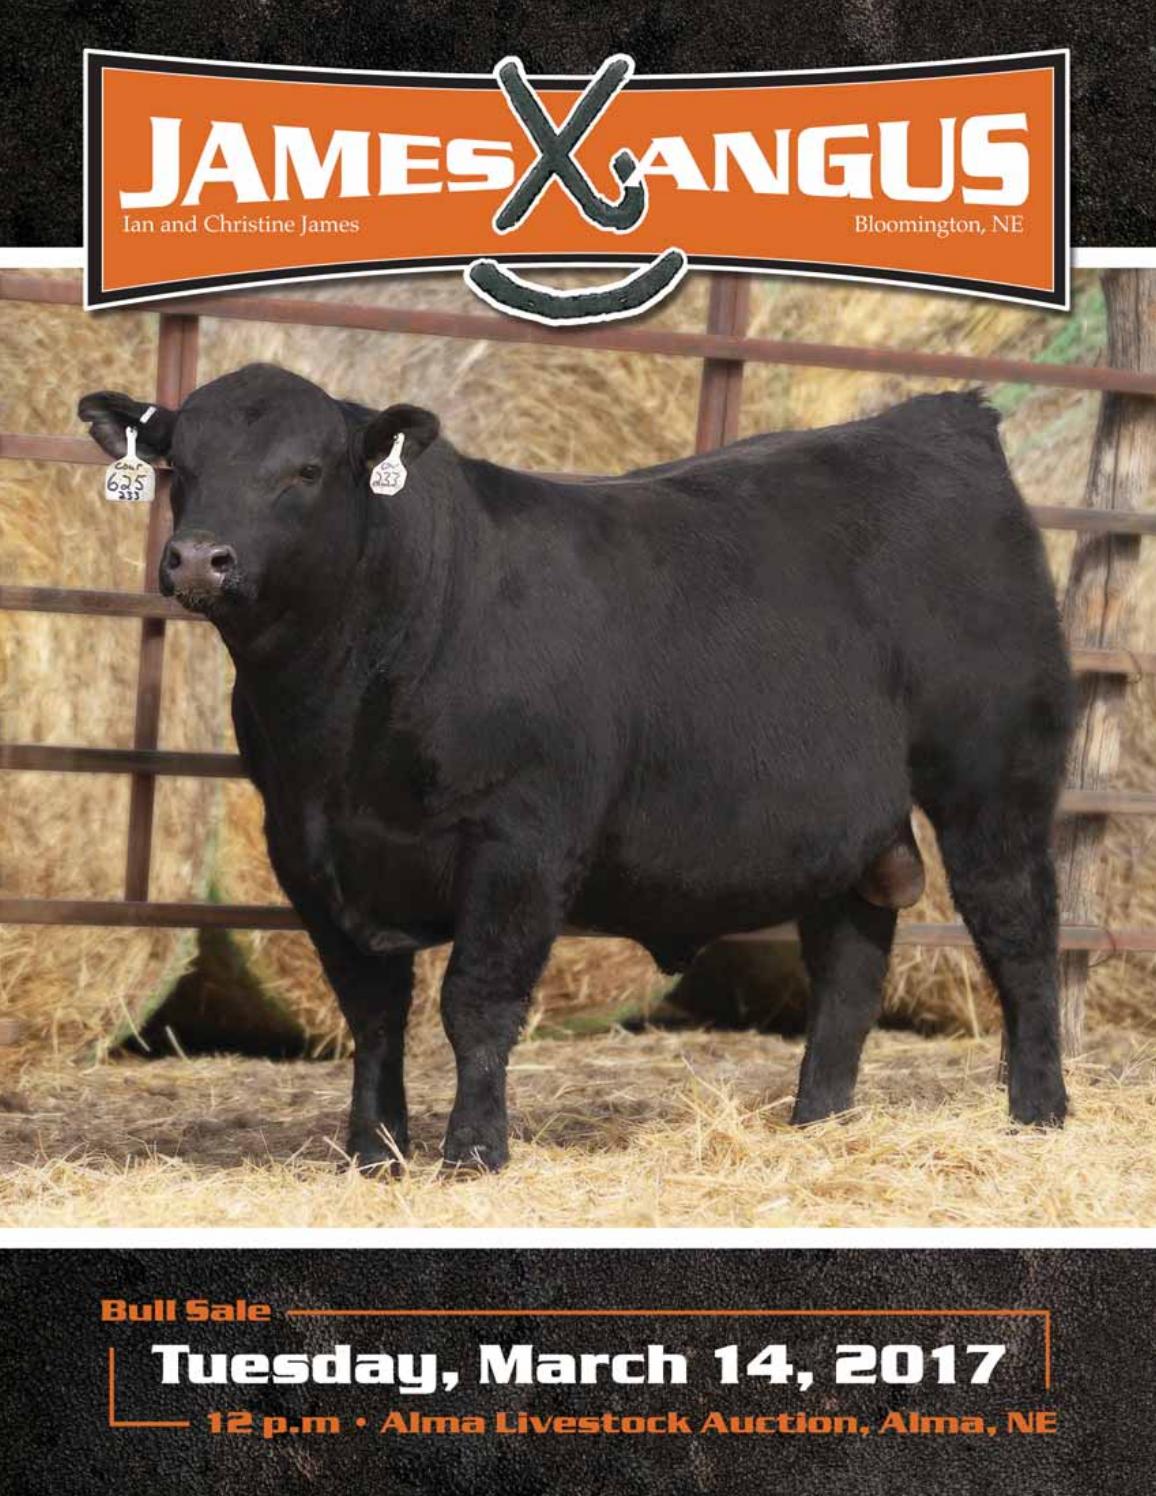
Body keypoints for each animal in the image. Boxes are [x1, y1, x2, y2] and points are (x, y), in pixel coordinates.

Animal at [79, 365, 1073, 1173]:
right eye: (177, 466)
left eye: (307, 470)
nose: (199, 558)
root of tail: (936, 419)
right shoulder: (306, 852)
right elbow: (373, 1016)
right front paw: (373, 1154)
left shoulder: (519, 839)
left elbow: (476, 1003)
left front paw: (474, 1152)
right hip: (847, 821)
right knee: (849, 971)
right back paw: (818, 1123)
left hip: (996, 783)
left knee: (1020, 935)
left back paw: (1038, 1112)